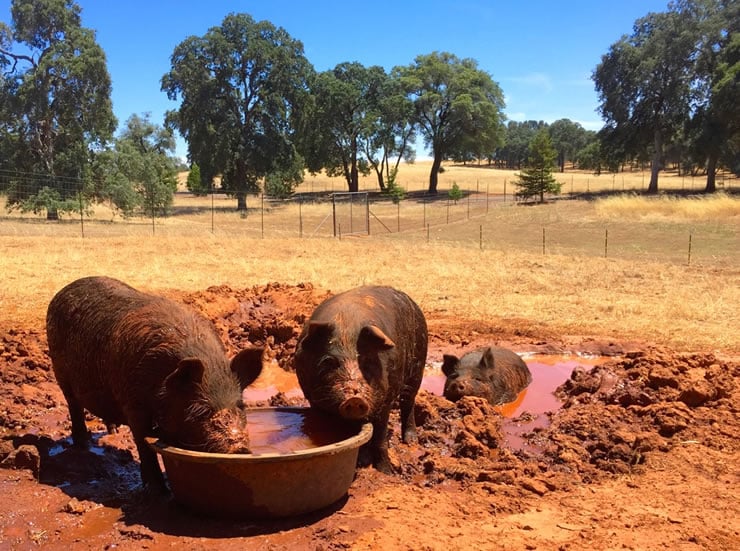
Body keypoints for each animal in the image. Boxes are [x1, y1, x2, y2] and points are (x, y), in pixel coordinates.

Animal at [44, 278, 264, 490]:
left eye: (241, 406)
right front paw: (158, 491)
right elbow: (143, 443)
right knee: (73, 405)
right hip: (60, 371)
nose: (240, 449)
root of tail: (63, 290)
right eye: (201, 411)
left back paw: (113, 431)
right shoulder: (132, 403)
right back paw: (83, 444)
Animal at [292, 284, 424, 474]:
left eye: (366, 361)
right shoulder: (312, 398)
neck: (346, 326)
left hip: (418, 366)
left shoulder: (385, 399)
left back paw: (411, 441)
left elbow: (380, 437)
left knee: (409, 402)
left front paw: (386, 472)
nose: (354, 398)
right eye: (328, 361)